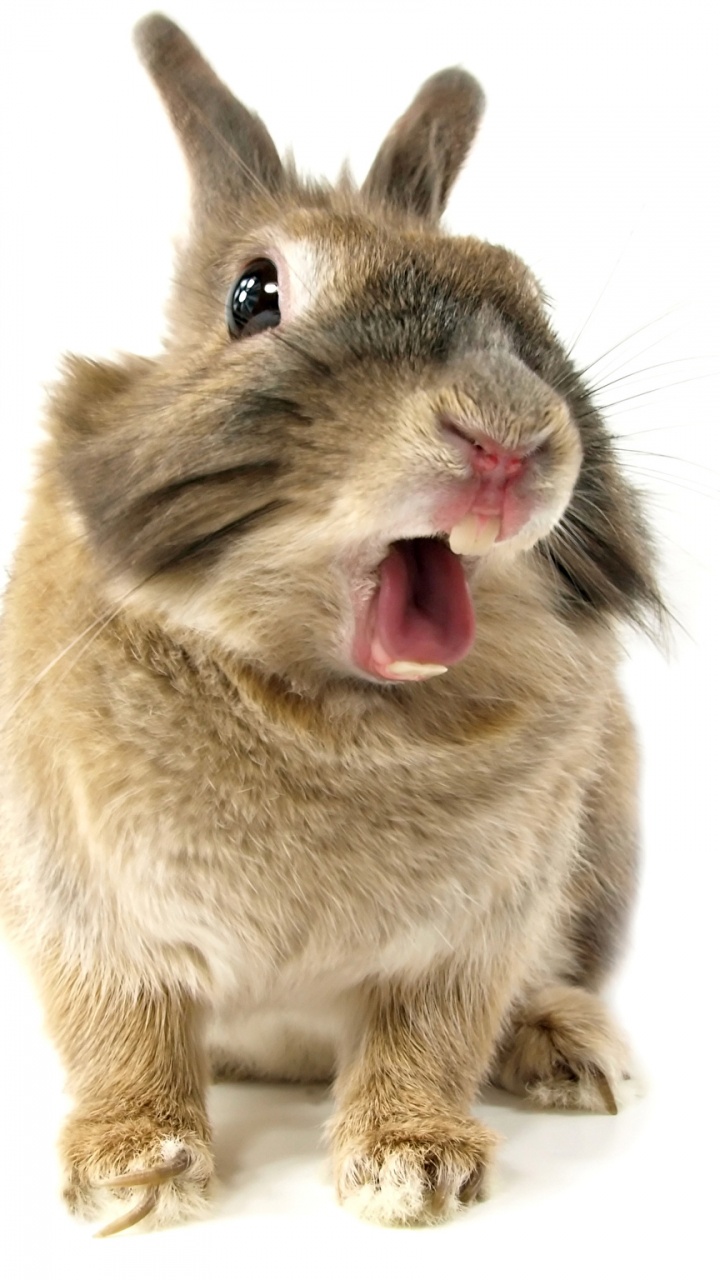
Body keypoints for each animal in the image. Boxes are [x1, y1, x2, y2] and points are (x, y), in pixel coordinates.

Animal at [0, 12, 665, 1237]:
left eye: (525, 296)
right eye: (253, 295)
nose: (506, 437)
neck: (332, 712)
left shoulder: (471, 938)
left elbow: (430, 1036)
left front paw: (413, 1167)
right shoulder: (82, 903)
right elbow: (121, 1031)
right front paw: (132, 1172)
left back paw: (571, 1050)